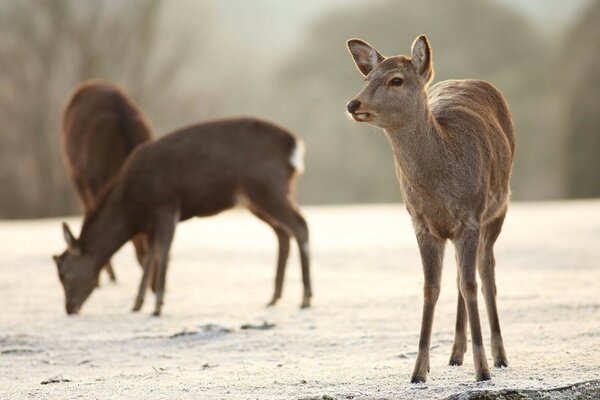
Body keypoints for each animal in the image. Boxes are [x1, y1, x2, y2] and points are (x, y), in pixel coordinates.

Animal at [52, 117, 310, 318]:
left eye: (63, 274)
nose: (69, 308)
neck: (131, 209)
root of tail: (294, 145)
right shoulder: (152, 223)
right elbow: (151, 255)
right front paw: (137, 304)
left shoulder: (166, 205)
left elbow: (163, 250)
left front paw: (157, 306)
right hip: (258, 199)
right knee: (283, 233)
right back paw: (274, 297)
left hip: (268, 188)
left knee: (300, 226)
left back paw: (306, 298)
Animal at [346, 36, 516, 382]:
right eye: (367, 79)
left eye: (396, 80)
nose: (353, 105)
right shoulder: (420, 223)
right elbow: (430, 288)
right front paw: (418, 372)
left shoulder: (470, 217)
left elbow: (470, 284)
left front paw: (483, 370)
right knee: (462, 276)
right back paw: (455, 354)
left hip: (499, 208)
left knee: (485, 272)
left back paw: (500, 356)